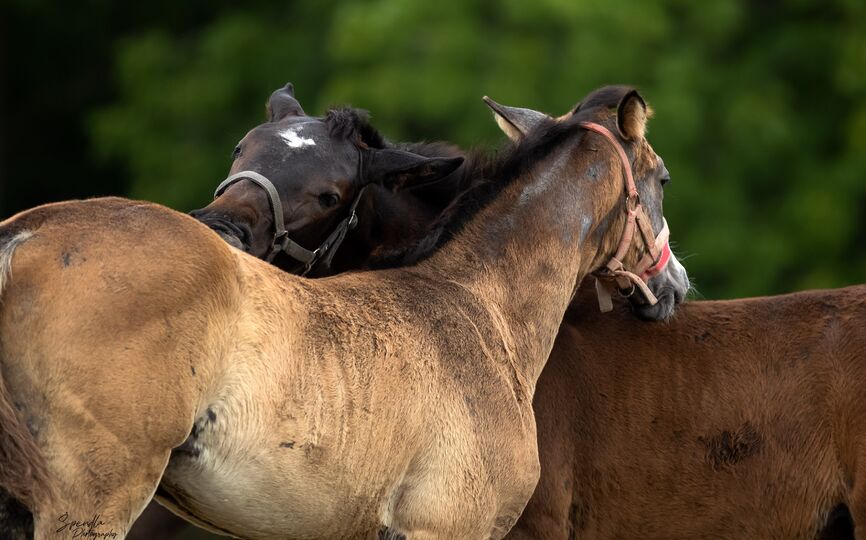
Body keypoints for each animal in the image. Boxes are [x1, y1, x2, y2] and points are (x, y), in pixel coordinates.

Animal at [0, 86, 680, 536]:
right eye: (663, 179)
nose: (672, 282)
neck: (478, 303)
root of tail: (25, 236)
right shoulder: (445, 525)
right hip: (91, 503)